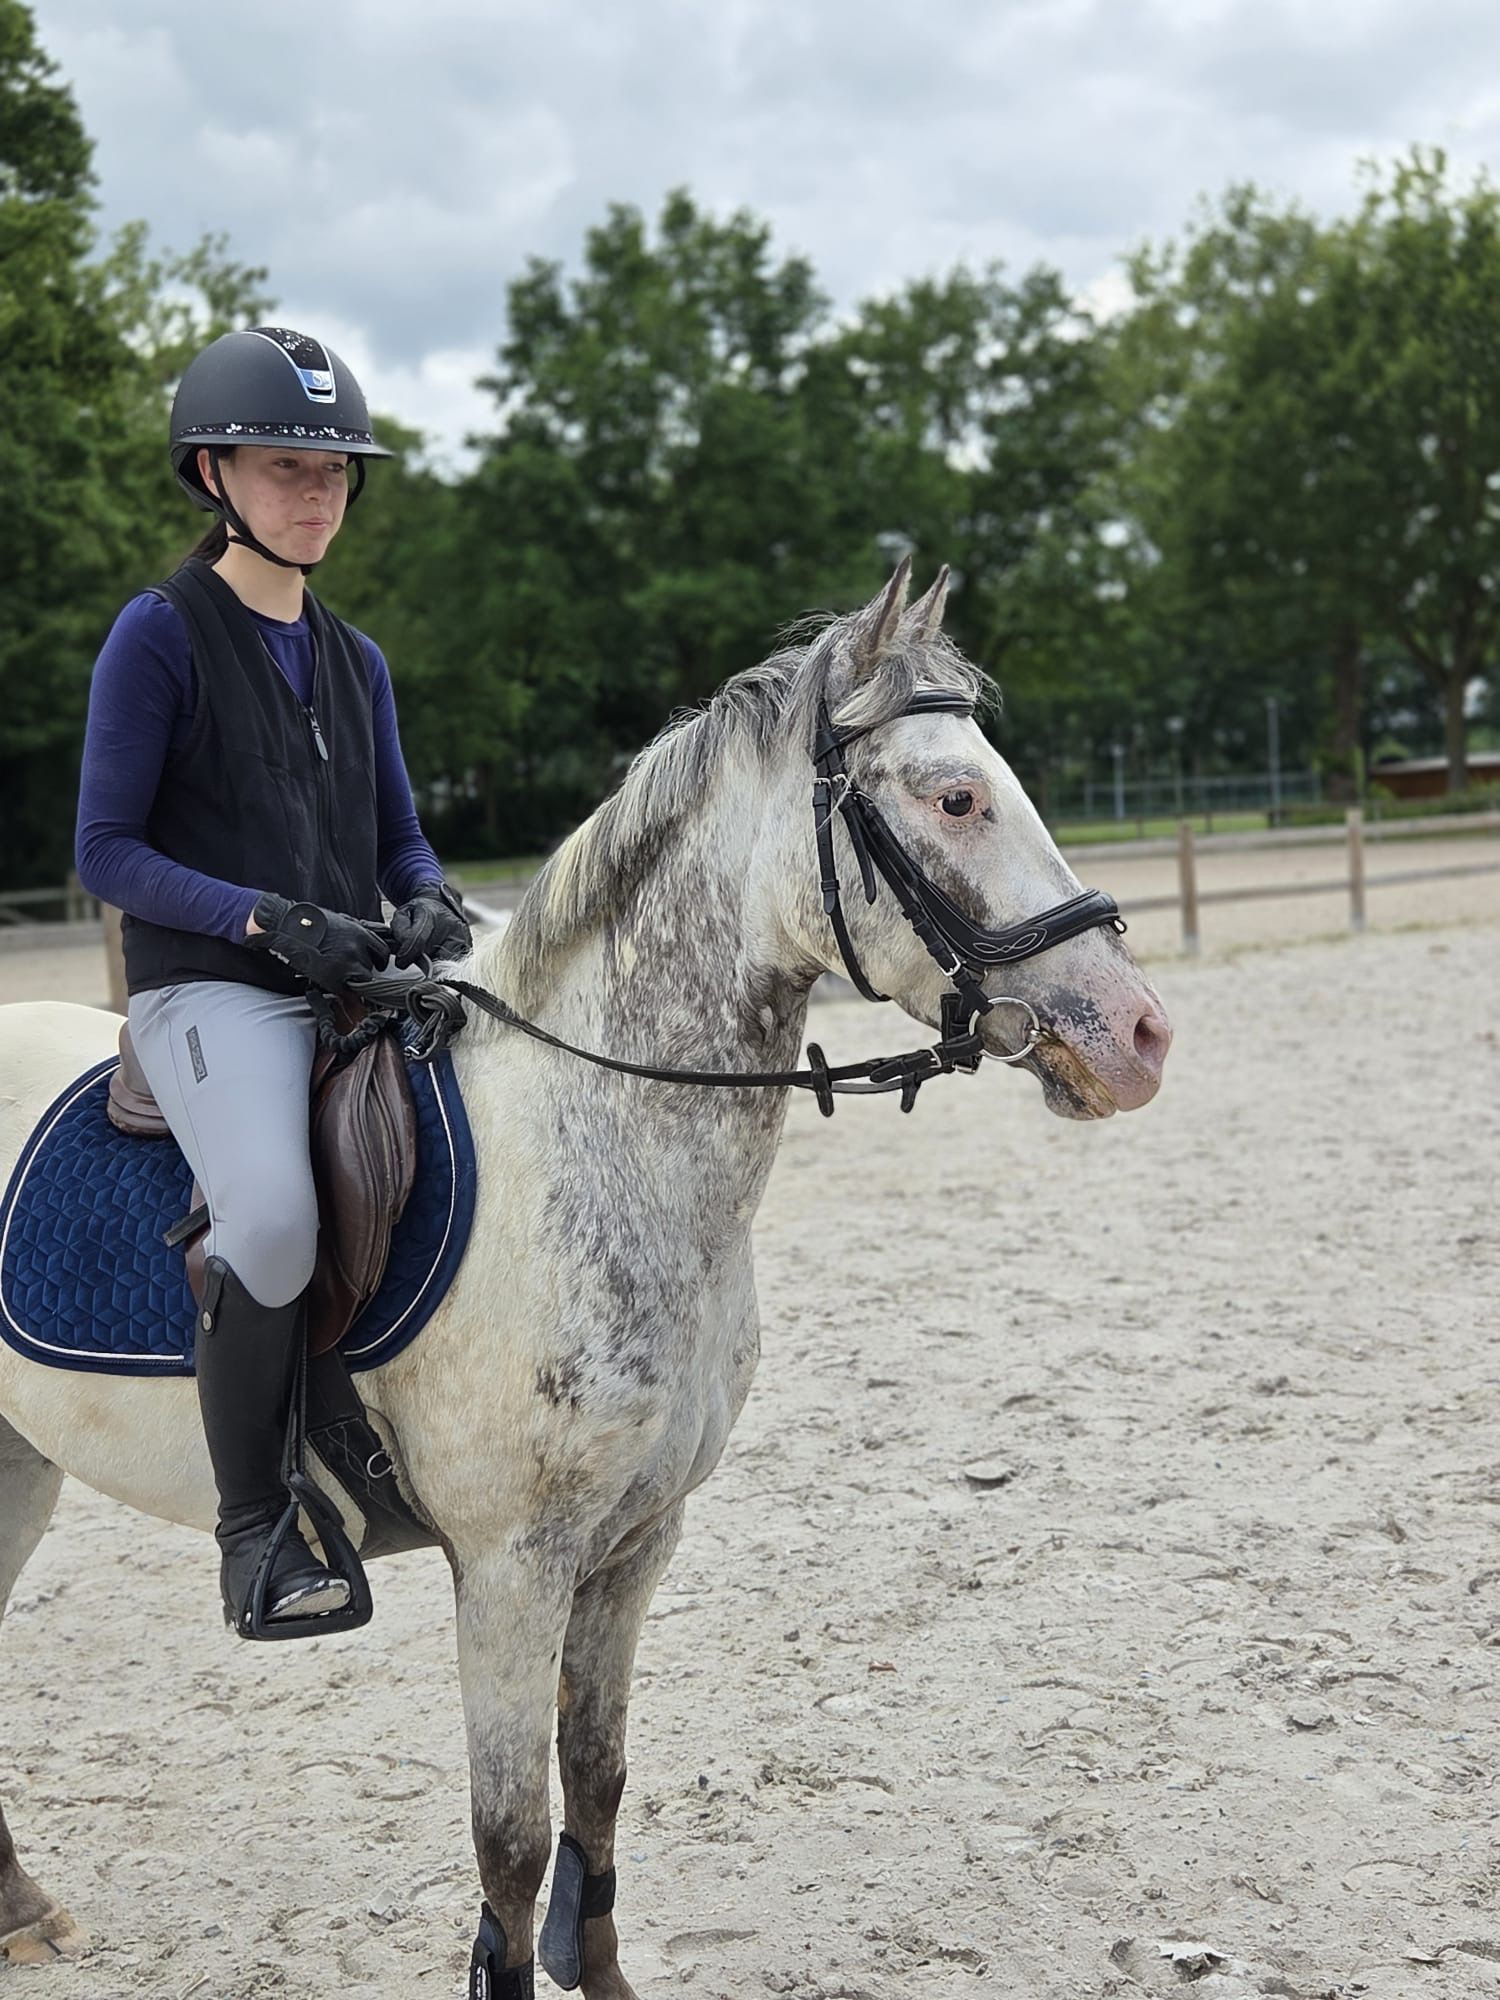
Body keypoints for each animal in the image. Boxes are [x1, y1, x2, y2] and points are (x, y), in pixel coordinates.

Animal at [0, 561, 1170, 1994]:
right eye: (956, 798)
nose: (1139, 1035)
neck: (595, 1138)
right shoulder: (514, 1564)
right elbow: (509, 1840)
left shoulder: (634, 1542)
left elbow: (597, 1780)